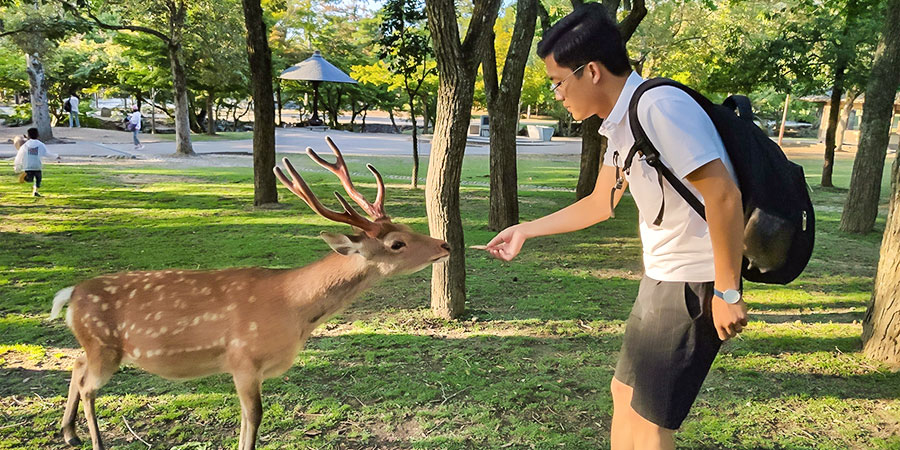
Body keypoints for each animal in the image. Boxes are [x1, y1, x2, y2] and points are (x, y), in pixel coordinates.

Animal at [47, 136, 451, 450]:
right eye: (397, 243)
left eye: (406, 226)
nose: (444, 244)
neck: (293, 310)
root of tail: (72, 295)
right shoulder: (243, 358)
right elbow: (254, 417)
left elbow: (246, 419)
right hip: (105, 347)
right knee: (88, 386)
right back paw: (94, 441)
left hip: (97, 347)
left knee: (76, 365)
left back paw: (69, 433)